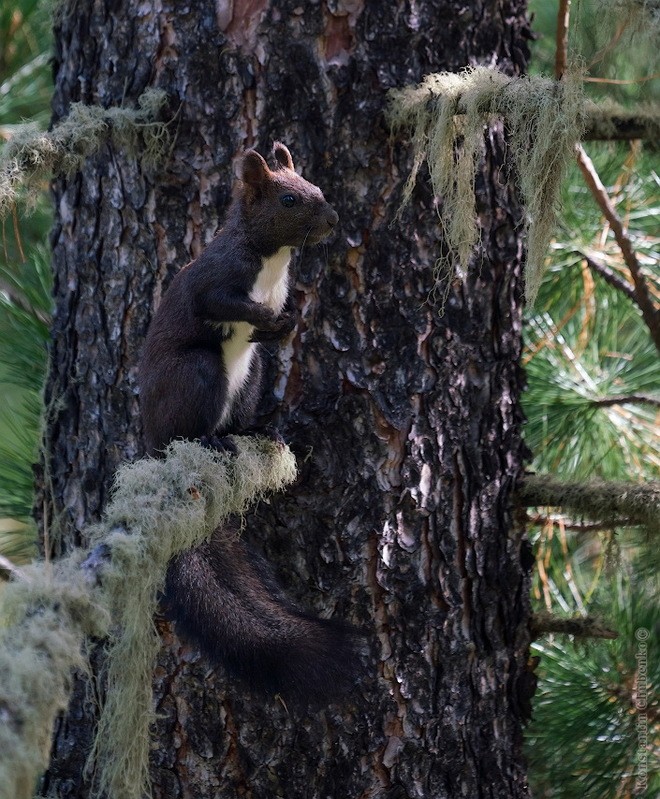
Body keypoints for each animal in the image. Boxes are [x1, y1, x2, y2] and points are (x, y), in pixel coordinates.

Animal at [138, 145, 360, 708]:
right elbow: (220, 303)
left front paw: (288, 318)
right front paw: (268, 317)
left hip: (252, 377)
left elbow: (277, 315)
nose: (333, 220)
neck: (272, 258)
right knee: (194, 423)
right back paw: (209, 441)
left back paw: (255, 434)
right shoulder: (216, 279)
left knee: (243, 401)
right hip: (199, 374)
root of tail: (154, 445)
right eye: (288, 199)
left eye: (316, 187)